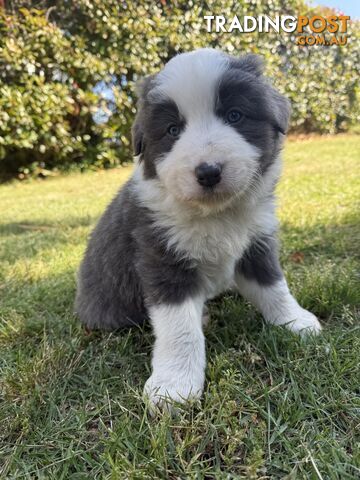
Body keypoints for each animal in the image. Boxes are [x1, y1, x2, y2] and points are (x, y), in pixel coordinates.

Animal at [74, 48, 322, 406]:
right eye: (172, 130)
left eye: (235, 115)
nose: (208, 172)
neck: (215, 215)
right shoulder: (162, 258)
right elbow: (180, 329)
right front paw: (174, 386)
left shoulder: (256, 244)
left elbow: (274, 286)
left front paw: (295, 321)